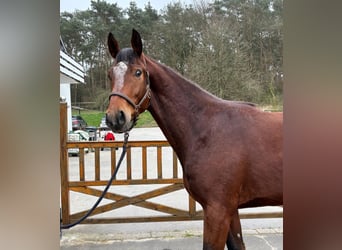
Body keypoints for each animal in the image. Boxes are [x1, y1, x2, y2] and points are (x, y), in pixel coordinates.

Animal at [105, 28, 282, 248]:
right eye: (110, 74)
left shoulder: (217, 211)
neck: (205, 128)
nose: (115, 117)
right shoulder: (230, 211)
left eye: (138, 72)